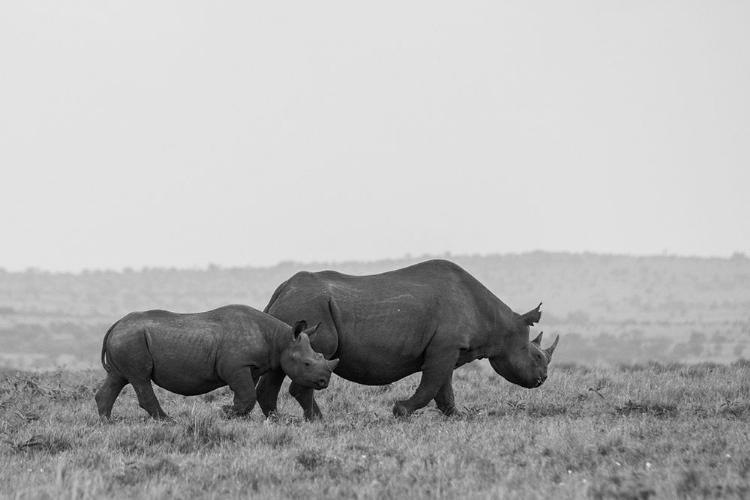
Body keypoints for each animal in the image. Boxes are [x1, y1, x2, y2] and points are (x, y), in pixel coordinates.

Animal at [95, 302, 340, 420]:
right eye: (307, 364)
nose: (323, 382)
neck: (280, 339)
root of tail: (116, 324)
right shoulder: (236, 366)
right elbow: (248, 395)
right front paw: (224, 412)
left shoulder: (247, 367)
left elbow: (245, 395)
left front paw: (233, 413)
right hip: (131, 339)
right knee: (140, 378)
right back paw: (167, 421)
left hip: (126, 338)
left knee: (117, 377)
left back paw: (107, 422)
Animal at [258, 260, 560, 420]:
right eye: (536, 356)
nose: (543, 379)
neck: (499, 322)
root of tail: (282, 289)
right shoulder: (445, 347)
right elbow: (431, 384)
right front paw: (400, 410)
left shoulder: (448, 349)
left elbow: (443, 387)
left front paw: (457, 416)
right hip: (310, 308)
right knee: (313, 362)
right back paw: (319, 421)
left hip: (295, 314)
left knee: (280, 365)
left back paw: (277, 420)